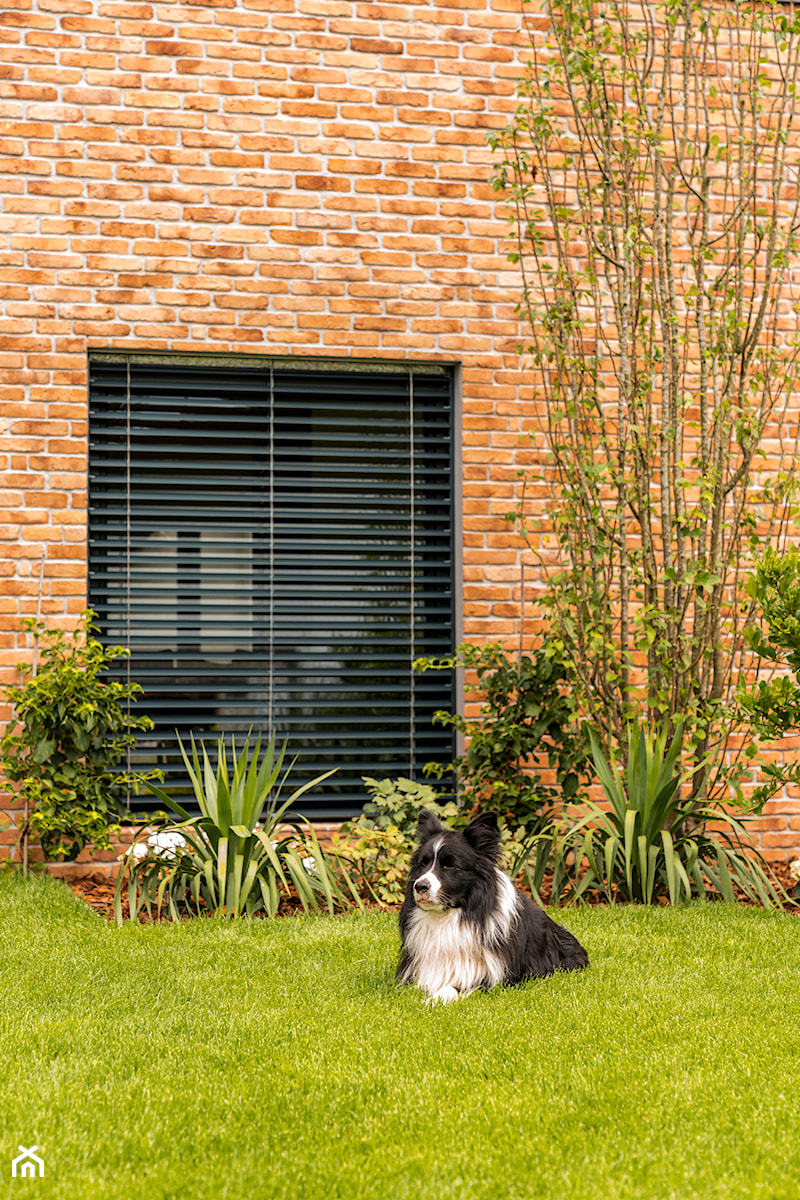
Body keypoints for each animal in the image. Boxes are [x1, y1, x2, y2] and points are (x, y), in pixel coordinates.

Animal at [395, 811, 587, 998]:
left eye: (450, 865)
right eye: (422, 864)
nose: (420, 886)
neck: (450, 915)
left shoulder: (495, 976)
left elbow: (451, 988)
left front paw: (434, 999)